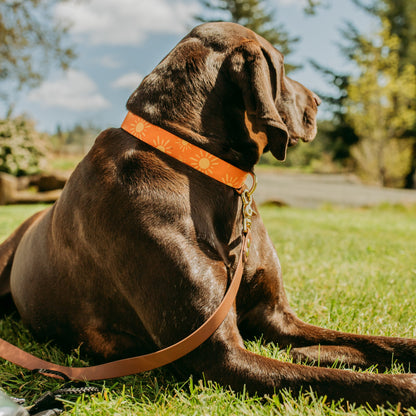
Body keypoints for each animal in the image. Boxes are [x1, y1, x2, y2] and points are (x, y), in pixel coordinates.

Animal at [0, 22, 416, 406]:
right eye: (281, 66)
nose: (317, 100)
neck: (194, 162)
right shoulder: (217, 354)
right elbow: (340, 380)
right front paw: (402, 382)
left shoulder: (276, 317)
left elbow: (377, 343)